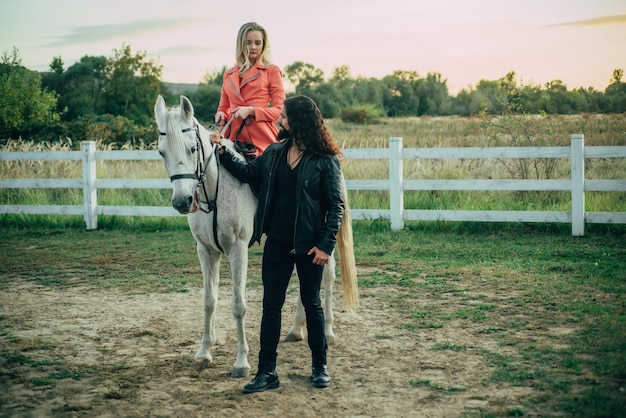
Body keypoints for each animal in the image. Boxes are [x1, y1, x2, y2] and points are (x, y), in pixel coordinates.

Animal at [153, 96, 356, 378]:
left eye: (192, 148)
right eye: (162, 152)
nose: (183, 201)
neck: (215, 191)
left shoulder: (238, 249)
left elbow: (238, 305)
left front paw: (241, 362)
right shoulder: (206, 251)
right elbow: (209, 301)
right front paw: (204, 353)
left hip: (323, 239)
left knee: (326, 276)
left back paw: (327, 329)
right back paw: (296, 329)